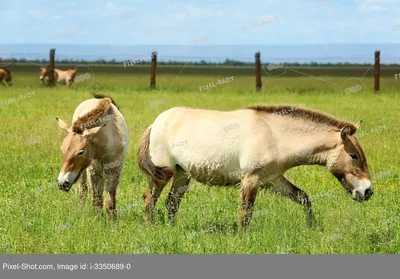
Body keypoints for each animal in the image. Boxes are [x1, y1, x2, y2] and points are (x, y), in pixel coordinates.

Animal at [139, 105, 374, 230]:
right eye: (353, 156)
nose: (368, 191)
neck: (275, 136)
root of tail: (157, 121)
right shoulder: (250, 179)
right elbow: (246, 212)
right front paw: (242, 238)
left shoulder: (272, 180)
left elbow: (303, 197)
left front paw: (311, 227)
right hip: (164, 172)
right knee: (150, 199)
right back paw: (152, 228)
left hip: (182, 173)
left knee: (171, 203)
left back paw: (172, 229)